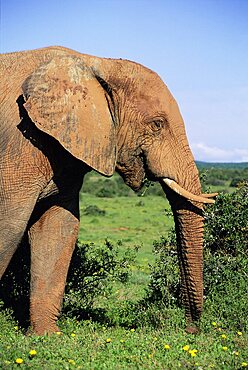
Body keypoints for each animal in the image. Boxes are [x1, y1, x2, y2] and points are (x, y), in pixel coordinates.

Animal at [0, 46, 216, 336]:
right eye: (157, 124)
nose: (190, 328)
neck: (97, 63)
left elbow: (59, 227)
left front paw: (46, 336)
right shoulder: (18, 145)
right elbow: (10, 224)